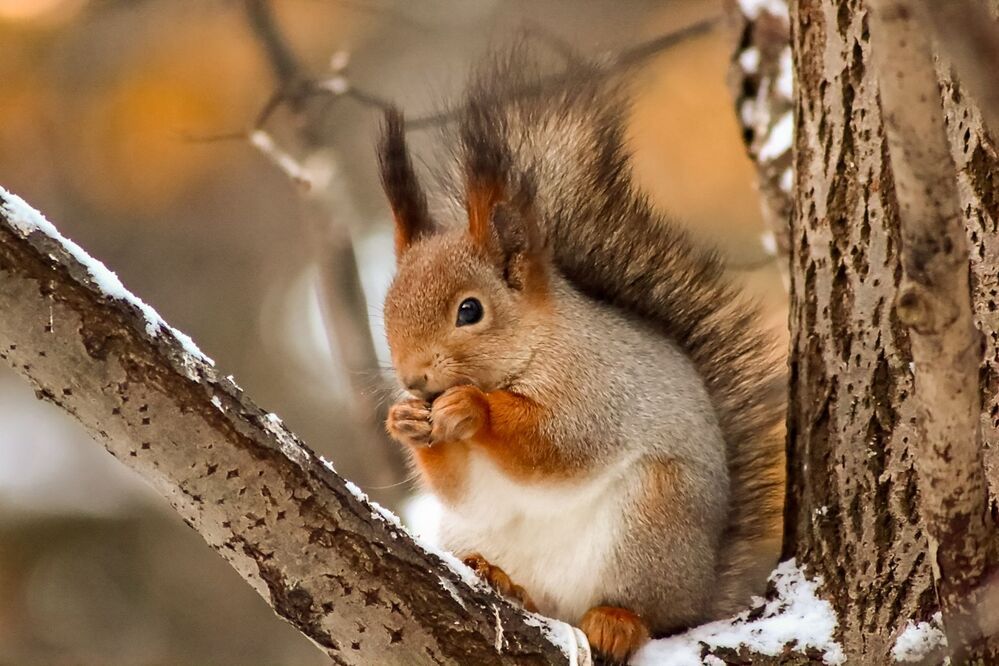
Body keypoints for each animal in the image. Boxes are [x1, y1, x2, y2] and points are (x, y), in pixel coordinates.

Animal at [378, 53, 785, 664]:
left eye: (470, 310)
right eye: (385, 309)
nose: (414, 377)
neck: (535, 347)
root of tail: (699, 592)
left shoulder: (598, 389)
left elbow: (560, 445)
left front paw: (472, 407)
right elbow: (462, 489)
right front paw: (404, 420)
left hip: (653, 523)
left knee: (644, 611)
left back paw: (617, 621)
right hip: (479, 535)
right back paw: (502, 580)